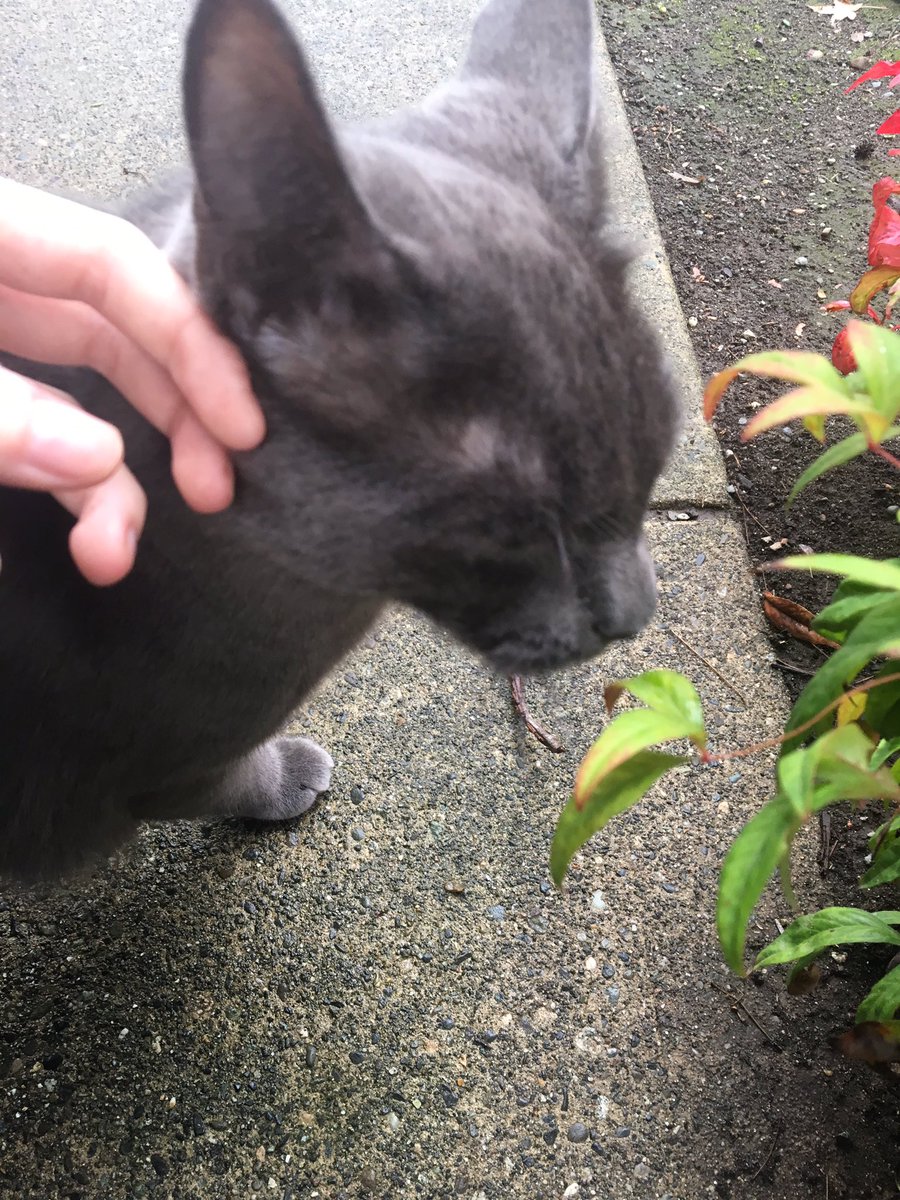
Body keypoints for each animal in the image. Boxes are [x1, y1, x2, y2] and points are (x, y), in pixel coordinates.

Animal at [0, 0, 676, 883]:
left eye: (660, 452)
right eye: (518, 526)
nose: (635, 615)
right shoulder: (150, 767)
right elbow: (228, 773)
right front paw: (285, 776)